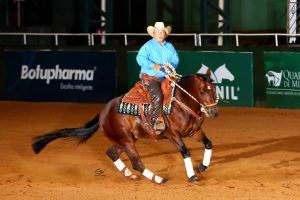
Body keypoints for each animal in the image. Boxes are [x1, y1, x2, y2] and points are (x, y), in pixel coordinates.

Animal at [32, 70, 218, 184]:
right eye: (202, 91)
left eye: (215, 89)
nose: (214, 112)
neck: (180, 103)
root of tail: (103, 113)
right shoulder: (174, 136)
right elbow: (185, 152)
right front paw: (192, 176)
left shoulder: (194, 132)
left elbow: (208, 143)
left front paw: (203, 166)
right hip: (126, 141)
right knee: (137, 163)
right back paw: (159, 179)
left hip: (124, 140)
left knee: (111, 153)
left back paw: (129, 174)